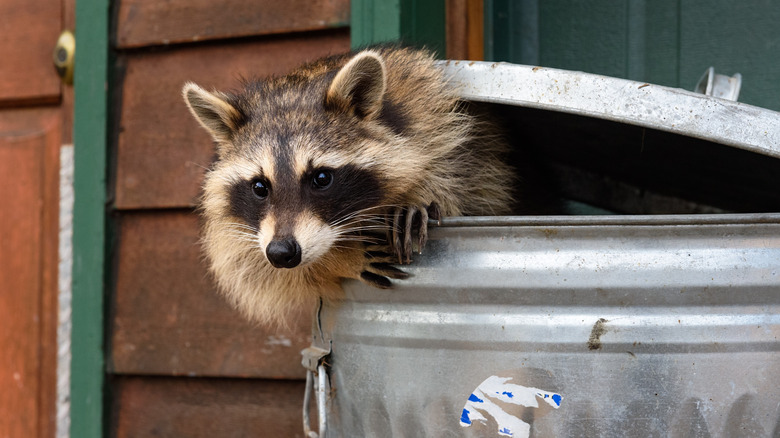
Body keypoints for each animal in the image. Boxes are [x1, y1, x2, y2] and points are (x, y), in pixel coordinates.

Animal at [183, 46, 517, 325]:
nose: (281, 252)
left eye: (321, 179)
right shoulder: (241, 231)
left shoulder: (437, 120)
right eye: (259, 187)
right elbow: (252, 267)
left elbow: (462, 176)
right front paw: (338, 260)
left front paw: (419, 192)